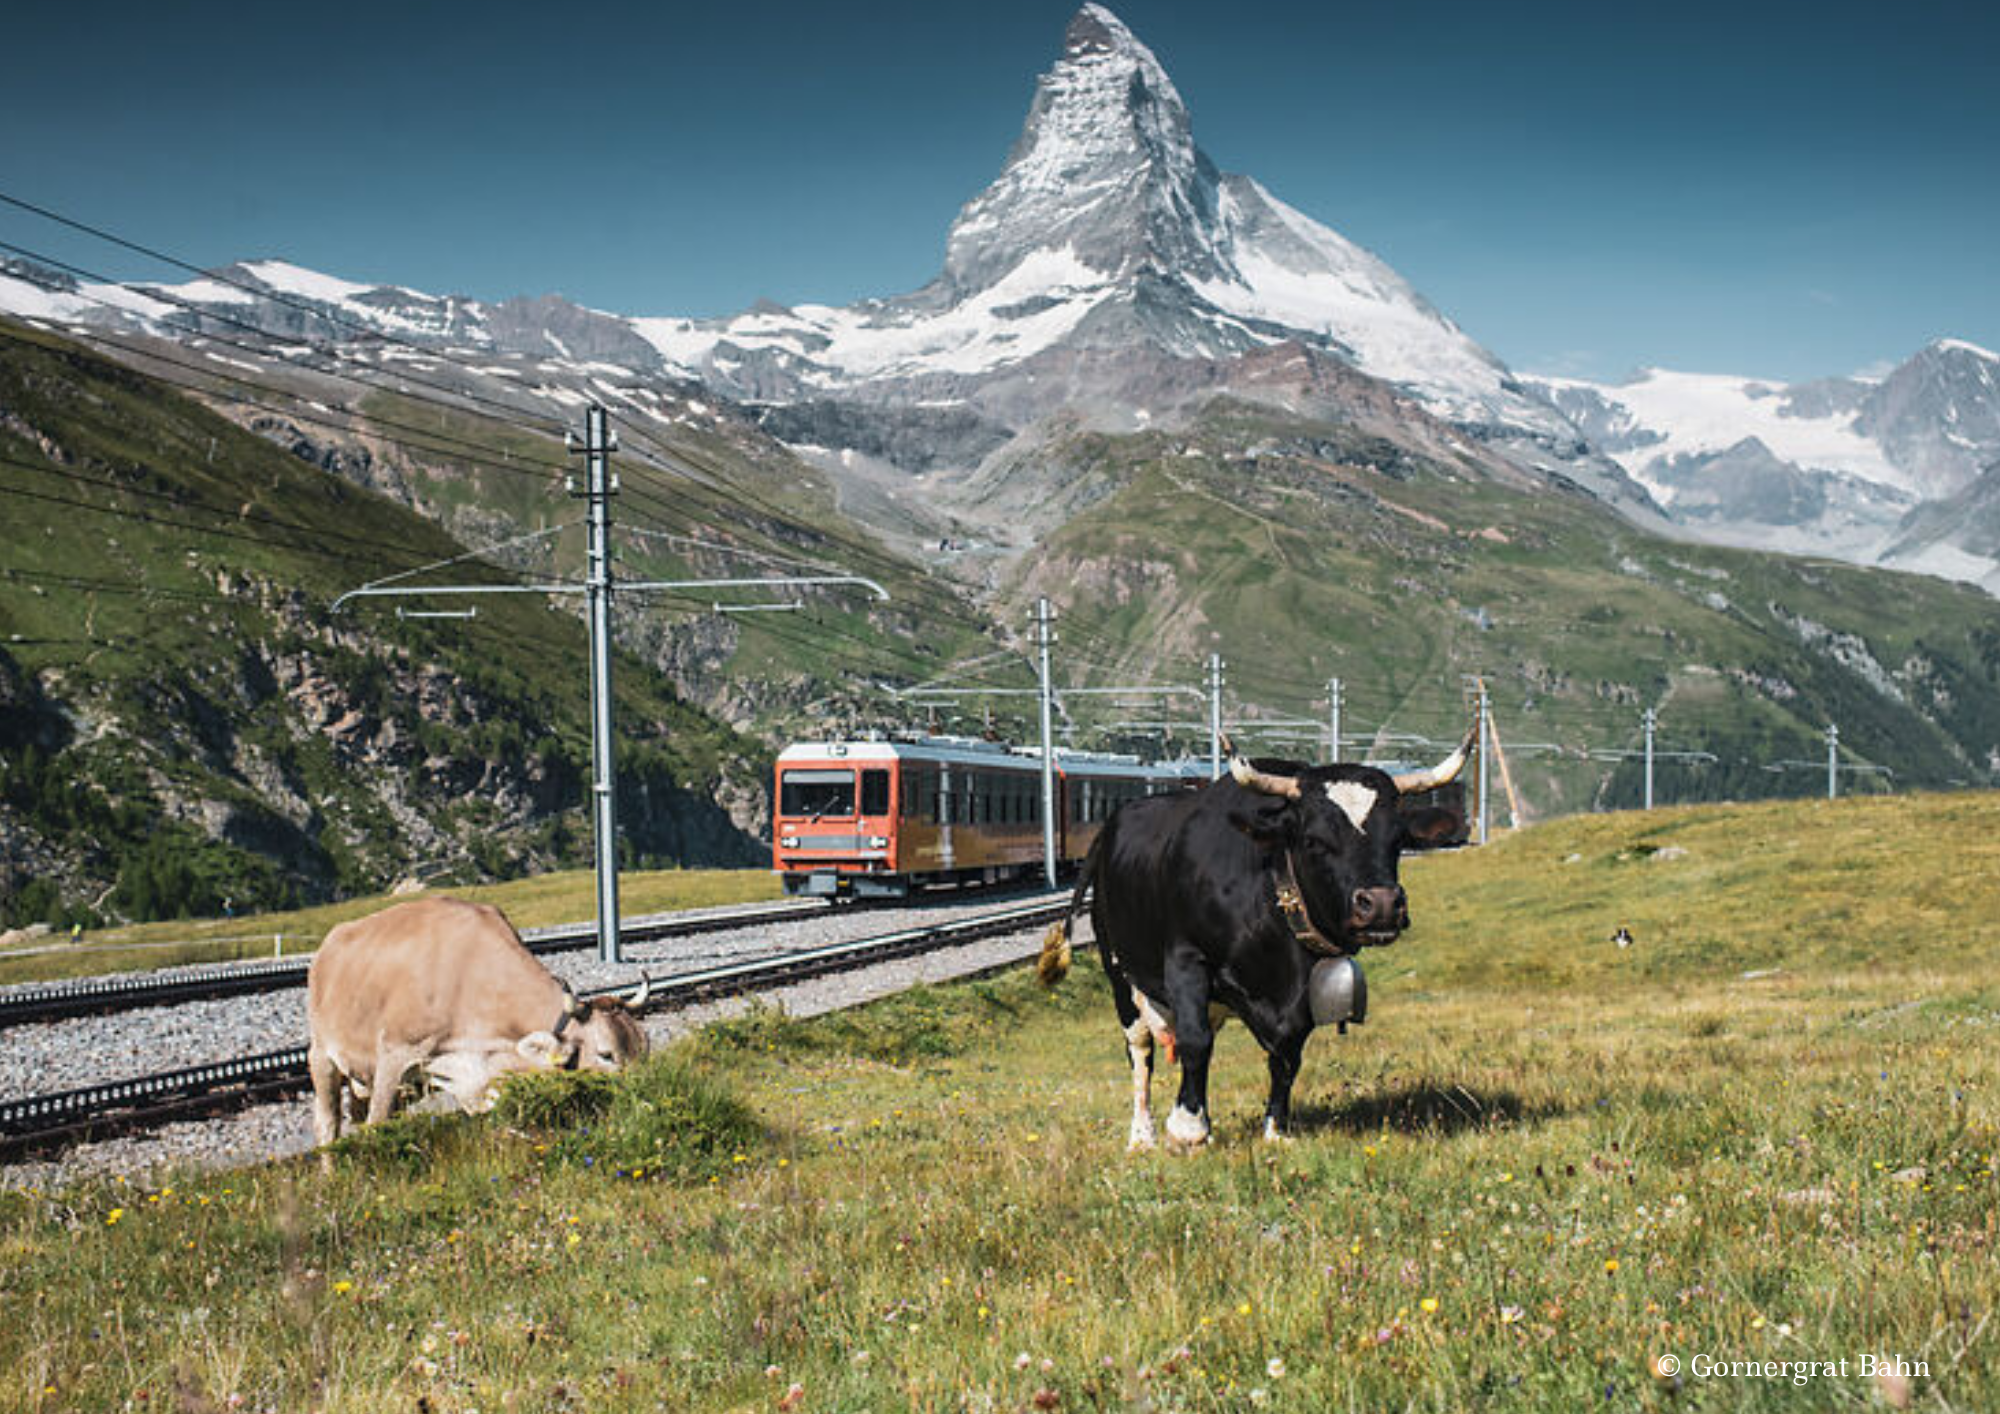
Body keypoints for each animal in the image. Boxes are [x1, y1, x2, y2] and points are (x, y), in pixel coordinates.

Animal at [306, 896, 650, 1148]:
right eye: (606, 1055)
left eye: (644, 1048)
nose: (643, 1097)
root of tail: (328, 945)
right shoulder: (394, 1055)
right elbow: (376, 1124)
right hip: (322, 1055)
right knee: (327, 1125)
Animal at [1037, 728, 1473, 1149]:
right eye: (1313, 839)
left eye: (1398, 839)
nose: (1381, 904)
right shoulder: (1186, 959)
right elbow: (1196, 1041)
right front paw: (1188, 1127)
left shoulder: (1301, 988)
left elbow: (1287, 1054)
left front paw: (1275, 1129)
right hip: (1119, 971)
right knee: (1141, 1049)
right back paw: (1142, 1136)